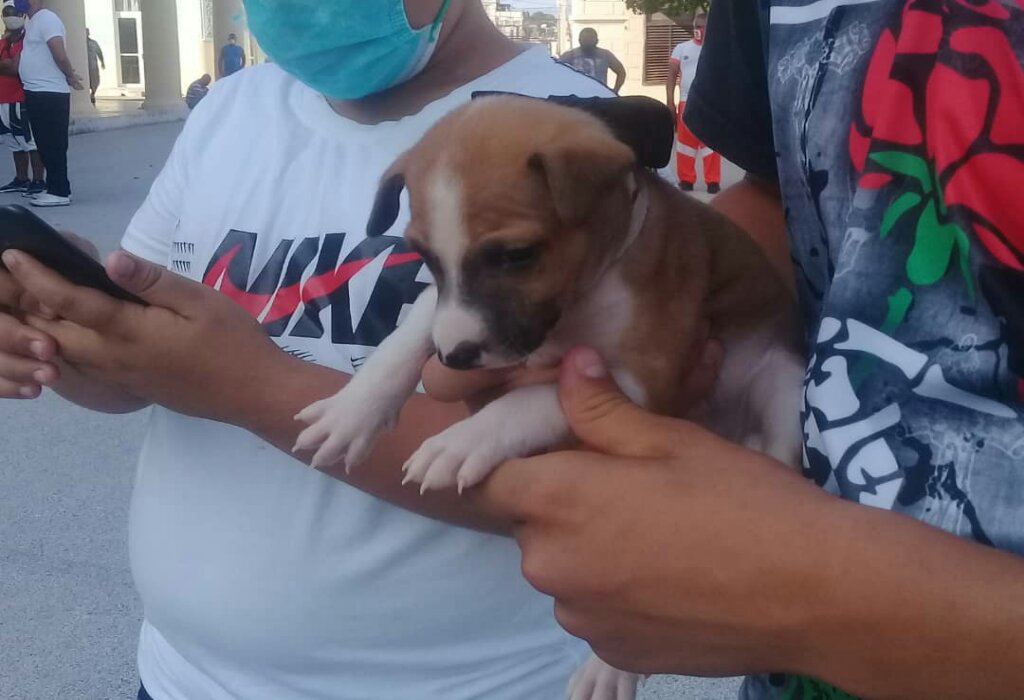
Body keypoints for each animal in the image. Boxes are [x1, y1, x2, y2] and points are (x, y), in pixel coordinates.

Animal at [292, 94, 802, 700]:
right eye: (424, 258)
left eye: (516, 255)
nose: (455, 358)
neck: (583, 296)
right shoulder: (443, 312)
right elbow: (407, 335)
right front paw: (353, 413)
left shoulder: (641, 376)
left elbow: (529, 400)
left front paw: (462, 442)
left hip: (783, 391)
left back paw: (610, 668)